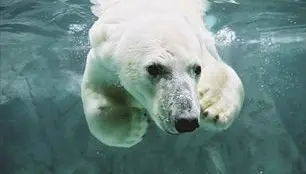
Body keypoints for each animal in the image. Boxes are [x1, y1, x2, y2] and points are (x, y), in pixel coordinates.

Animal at [80, 0, 244, 147]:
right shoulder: (102, 59)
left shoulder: (203, 43)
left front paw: (213, 109)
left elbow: (223, 72)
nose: (186, 121)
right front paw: (133, 125)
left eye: (197, 69)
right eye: (153, 68)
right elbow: (97, 92)